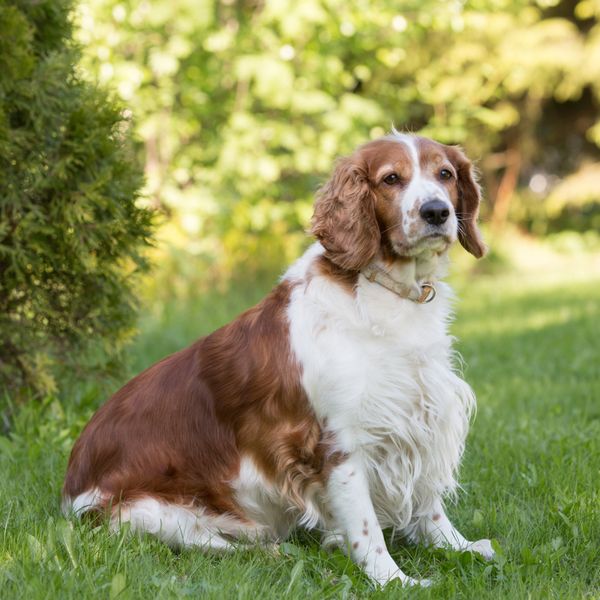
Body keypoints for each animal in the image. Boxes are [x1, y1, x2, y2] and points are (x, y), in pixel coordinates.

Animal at [64, 131, 496, 584]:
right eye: (391, 178)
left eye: (445, 174)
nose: (436, 211)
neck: (386, 291)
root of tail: (70, 486)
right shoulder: (341, 443)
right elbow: (365, 527)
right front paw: (393, 580)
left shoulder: (421, 415)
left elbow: (430, 506)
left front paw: (461, 547)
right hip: (154, 514)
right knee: (227, 545)